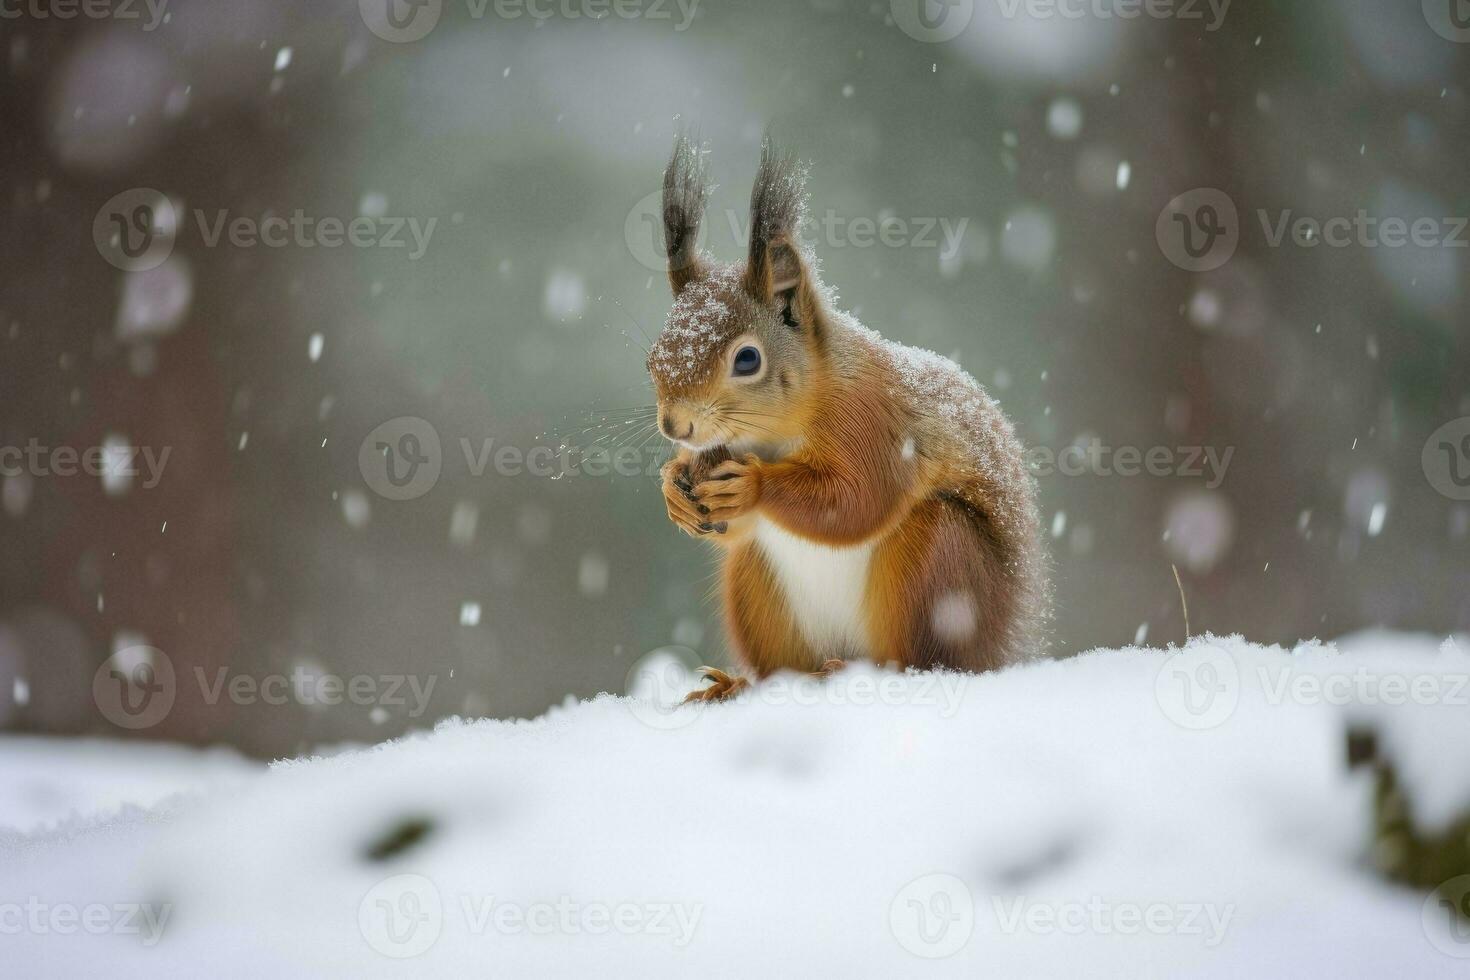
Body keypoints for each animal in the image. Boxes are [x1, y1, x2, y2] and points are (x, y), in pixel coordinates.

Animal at [646, 139, 1046, 705]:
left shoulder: (873, 421)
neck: (772, 436)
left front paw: (753, 486)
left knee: (922, 656)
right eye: (652, 358)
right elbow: (731, 523)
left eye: (747, 360)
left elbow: (859, 498)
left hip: (939, 567)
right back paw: (740, 684)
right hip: (754, 583)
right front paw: (674, 487)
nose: (674, 427)